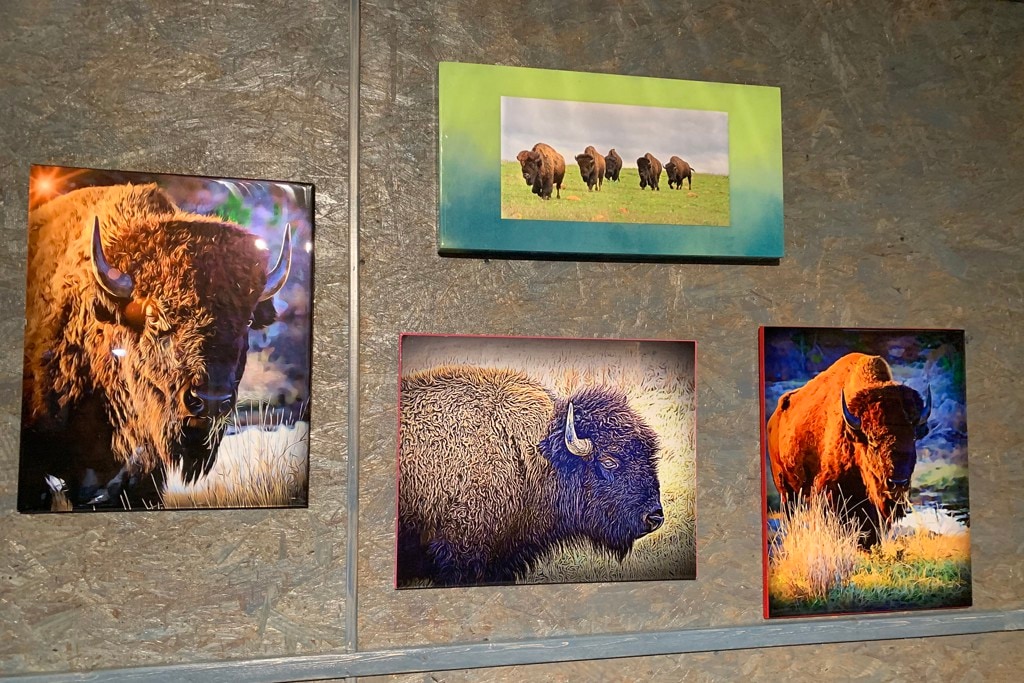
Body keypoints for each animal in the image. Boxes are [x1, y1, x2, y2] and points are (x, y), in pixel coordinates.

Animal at [765, 356, 933, 548]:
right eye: (872, 440)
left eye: (913, 438)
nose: (898, 483)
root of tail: (773, 419)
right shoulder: (829, 491)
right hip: (785, 488)